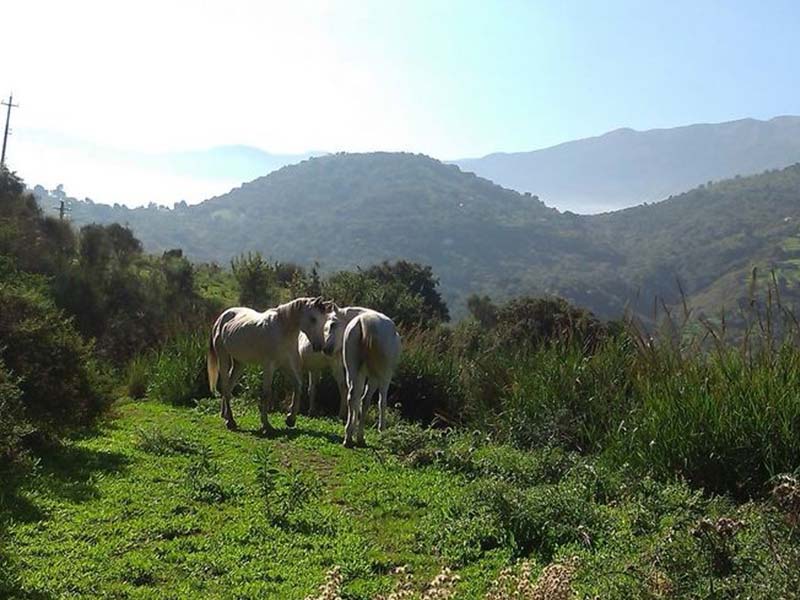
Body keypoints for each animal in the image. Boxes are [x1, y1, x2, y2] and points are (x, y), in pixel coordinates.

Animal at [209, 296, 332, 434]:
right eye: (313, 318)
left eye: (324, 320)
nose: (319, 346)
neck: (282, 330)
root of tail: (222, 317)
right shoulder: (269, 366)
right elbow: (266, 393)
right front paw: (266, 425)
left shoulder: (286, 365)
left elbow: (298, 386)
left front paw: (290, 419)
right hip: (223, 356)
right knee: (225, 386)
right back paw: (230, 421)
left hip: (239, 363)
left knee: (229, 388)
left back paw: (225, 415)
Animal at [322, 310, 400, 446]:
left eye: (333, 324)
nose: (326, 349)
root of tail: (364, 321)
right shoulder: (380, 377)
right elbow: (379, 402)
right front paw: (381, 429)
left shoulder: (360, 374)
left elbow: (357, 399)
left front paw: (353, 428)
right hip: (379, 376)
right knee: (369, 400)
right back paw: (361, 437)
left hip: (353, 371)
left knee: (352, 396)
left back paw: (348, 436)